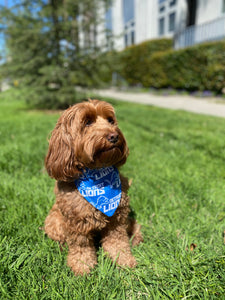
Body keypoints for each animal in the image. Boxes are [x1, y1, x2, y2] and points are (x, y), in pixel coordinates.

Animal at [43, 99, 142, 276]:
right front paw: (82, 266)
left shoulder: (118, 217)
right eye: (87, 122)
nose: (114, 136)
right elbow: (80, 246)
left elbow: (118, 241)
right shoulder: (76, 222)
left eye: (110, 120)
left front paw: (124, 260)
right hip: (53, 221)